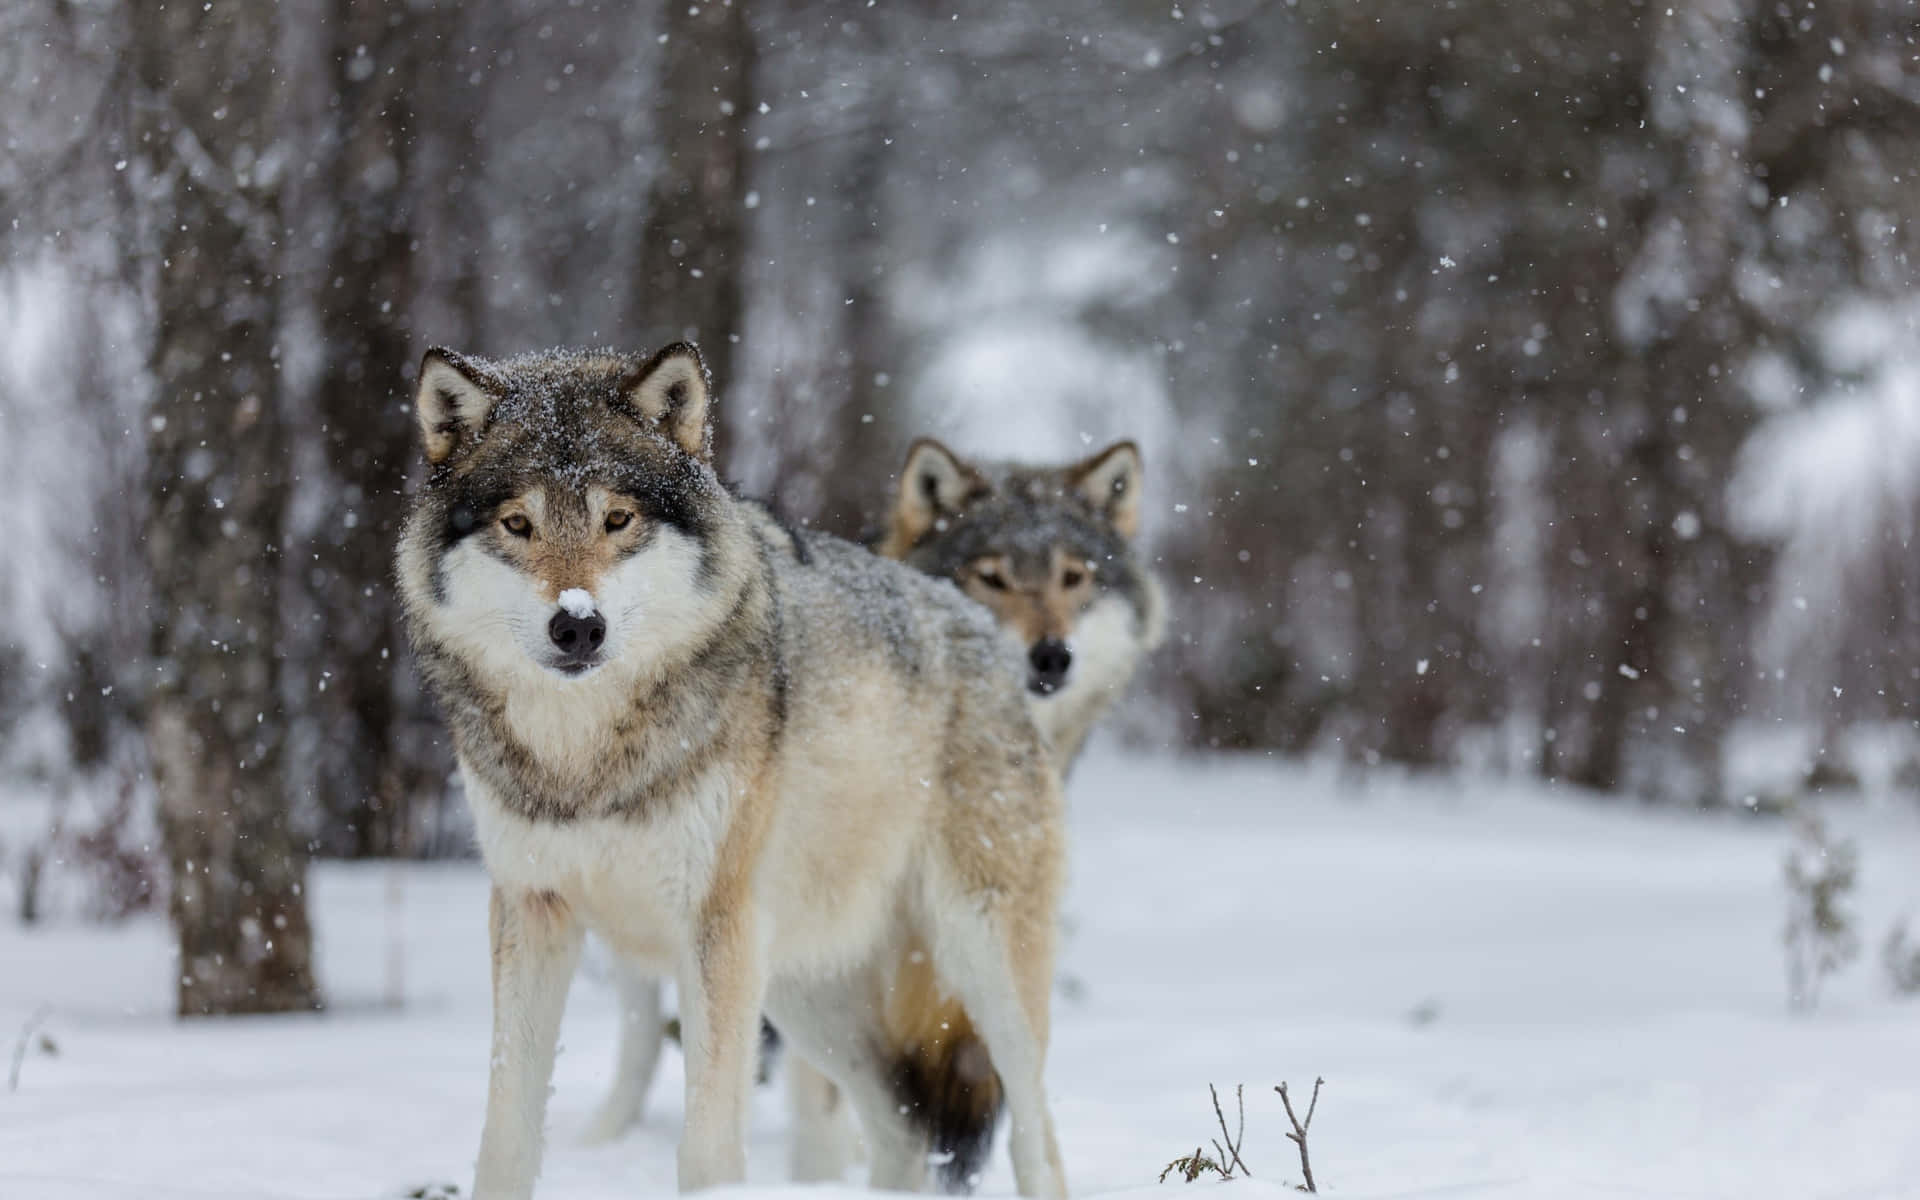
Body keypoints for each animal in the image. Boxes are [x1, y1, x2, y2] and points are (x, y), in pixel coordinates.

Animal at [397, 339, 1075, 1198]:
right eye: (518, 524)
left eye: (617, 519)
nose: (577, 626)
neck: (586, 760)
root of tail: (982, 626)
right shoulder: (531, 909)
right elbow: (507, 1131)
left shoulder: (712, 930)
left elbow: (708, 1148)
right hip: (803, 991)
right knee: (901, 1132)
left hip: (979, 964)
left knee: (1036, 1134)